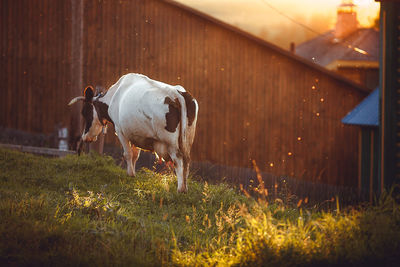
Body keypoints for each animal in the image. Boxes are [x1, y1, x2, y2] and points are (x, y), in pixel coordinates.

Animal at [70, 74, 200, 194]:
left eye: (85, 112)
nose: (85, 137)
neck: (115, 96)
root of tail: (176, 94)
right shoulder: (136, 135)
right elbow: (135, 155)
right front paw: (132, 172)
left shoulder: (120, 130)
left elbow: (127, 154)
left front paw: (130, 174)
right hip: (187, 140)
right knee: (186, 161)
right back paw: (185, 187)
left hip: (171, 142)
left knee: (178, 160)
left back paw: (180, 189)